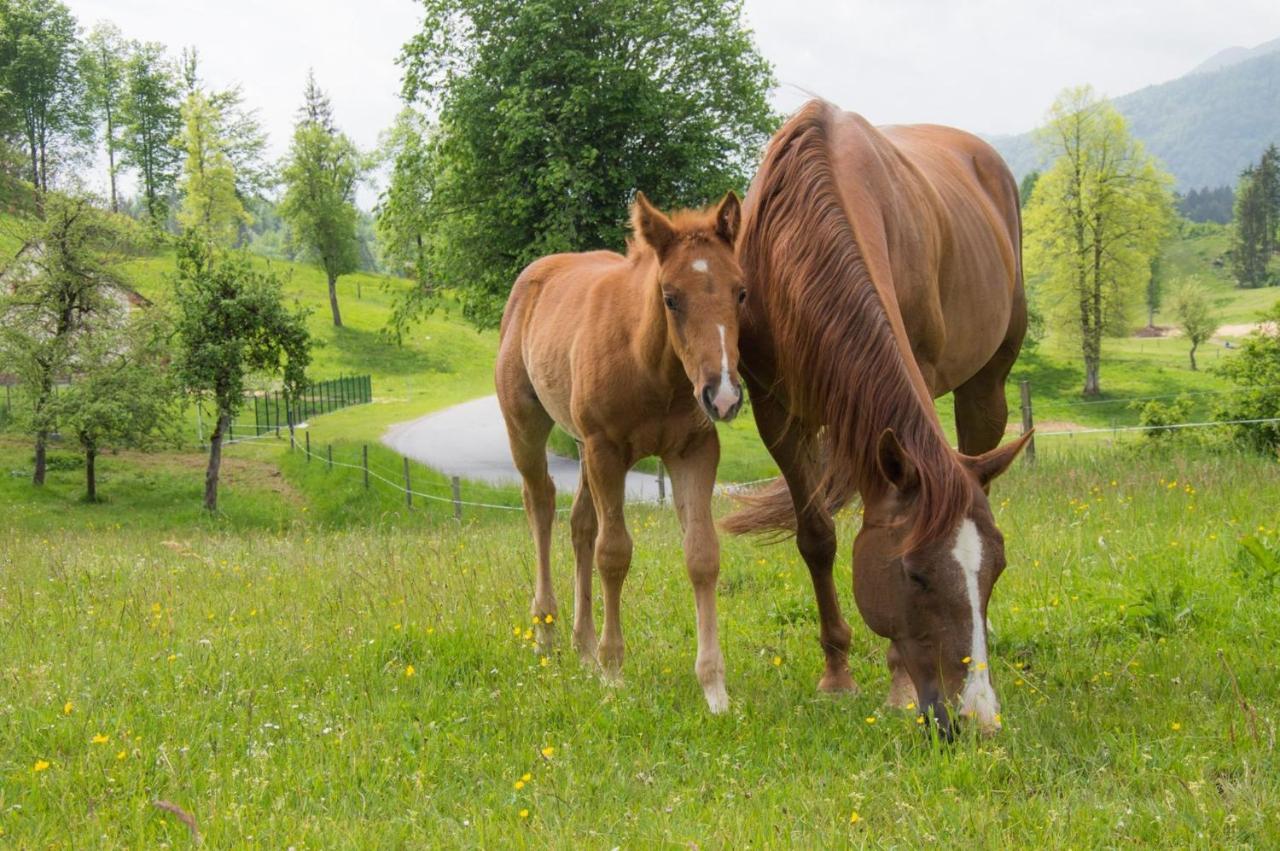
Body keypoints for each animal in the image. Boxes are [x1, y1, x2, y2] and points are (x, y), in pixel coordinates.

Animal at [491, 190, 747, 711]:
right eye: (670, 297)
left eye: (741, 292)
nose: (724, 396)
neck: (651, 366)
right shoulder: (606, 450)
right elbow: (614, 553)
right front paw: (613, 670)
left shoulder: (693, 450)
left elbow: (702, 554)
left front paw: (714, 688)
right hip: (529, 428)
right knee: (540, 503)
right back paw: (547, 633)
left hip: (583, 449)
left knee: (579, 525)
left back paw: (583, 647)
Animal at [727, 99, 1034, 737]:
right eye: (913, 574)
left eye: (997, 569)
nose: (977, 720)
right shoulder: (776, 411)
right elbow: (817, 537)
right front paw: (837, 676)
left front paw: (896, 684)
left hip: (986, 387)